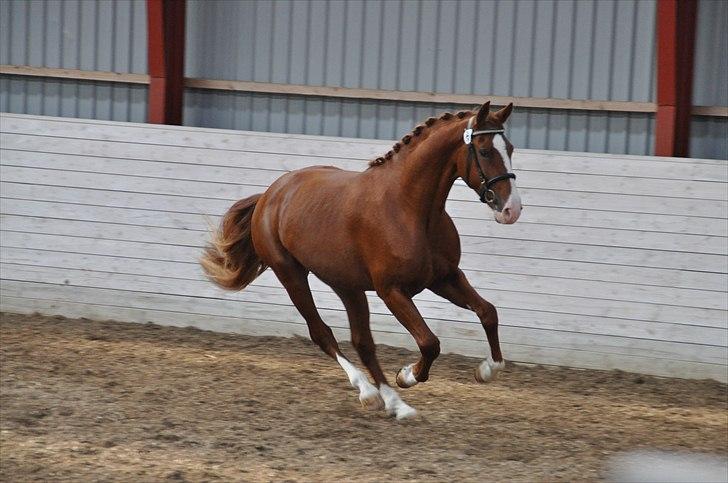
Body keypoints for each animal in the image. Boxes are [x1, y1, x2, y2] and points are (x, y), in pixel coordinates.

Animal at [203, 102, 524, 420]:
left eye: (510, 148)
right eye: (485, 151)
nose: (512, 210)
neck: (410, 209)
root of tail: (271, 195)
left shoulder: (445, 278)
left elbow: (488, 312)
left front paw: (486, 370)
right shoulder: (392, 290)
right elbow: (429, 343)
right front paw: (406, 375)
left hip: (347, 286)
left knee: (363, 342)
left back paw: (393, 402)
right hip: (291, 275)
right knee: (322, 333)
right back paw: (371, 394)